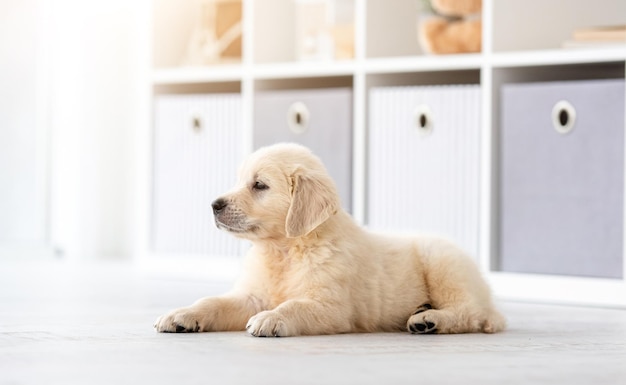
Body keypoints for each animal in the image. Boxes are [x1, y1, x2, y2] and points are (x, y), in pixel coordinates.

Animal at [154, 142, 504, 334]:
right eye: (240, 180)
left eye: (259, 185)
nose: (214, 205)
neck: (284, 250)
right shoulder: (252, 295)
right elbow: (213, 301)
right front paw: (182, 314)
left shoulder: (331, 307)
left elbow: (294, 306)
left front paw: (272, 318)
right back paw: (422, 312)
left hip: (444, 263)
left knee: (474, 314)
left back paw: (430, 319)